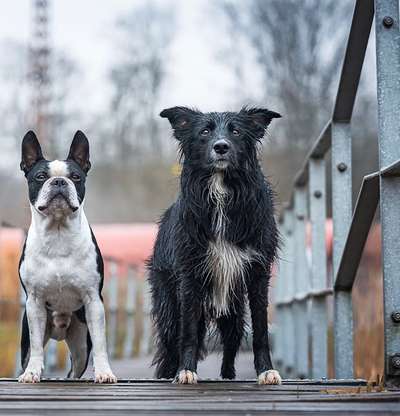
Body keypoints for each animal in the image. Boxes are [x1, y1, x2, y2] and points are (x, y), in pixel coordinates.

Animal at [18, 130, 116, 384]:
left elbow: (101, 343)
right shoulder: (34, 303)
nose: (60, 181)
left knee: (75, 370)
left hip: (81, 343)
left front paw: (104, 373)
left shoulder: (93, 301)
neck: (58, 231)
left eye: (76, 177)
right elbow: (36, 347)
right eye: (41, 176)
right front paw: (32, 372)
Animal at [148, 105, 282, 386]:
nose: (221, 146)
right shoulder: (189, 275)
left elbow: (261, 330)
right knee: (172, 343)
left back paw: (228, 376)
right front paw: (186, 371)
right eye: (205, 131)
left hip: (233, 310)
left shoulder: (258, 272)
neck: (221, 189)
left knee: (231, 343)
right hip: (169, 307)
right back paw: (169, 373)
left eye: (236, 131)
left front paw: (266, 370)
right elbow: (188, 334)